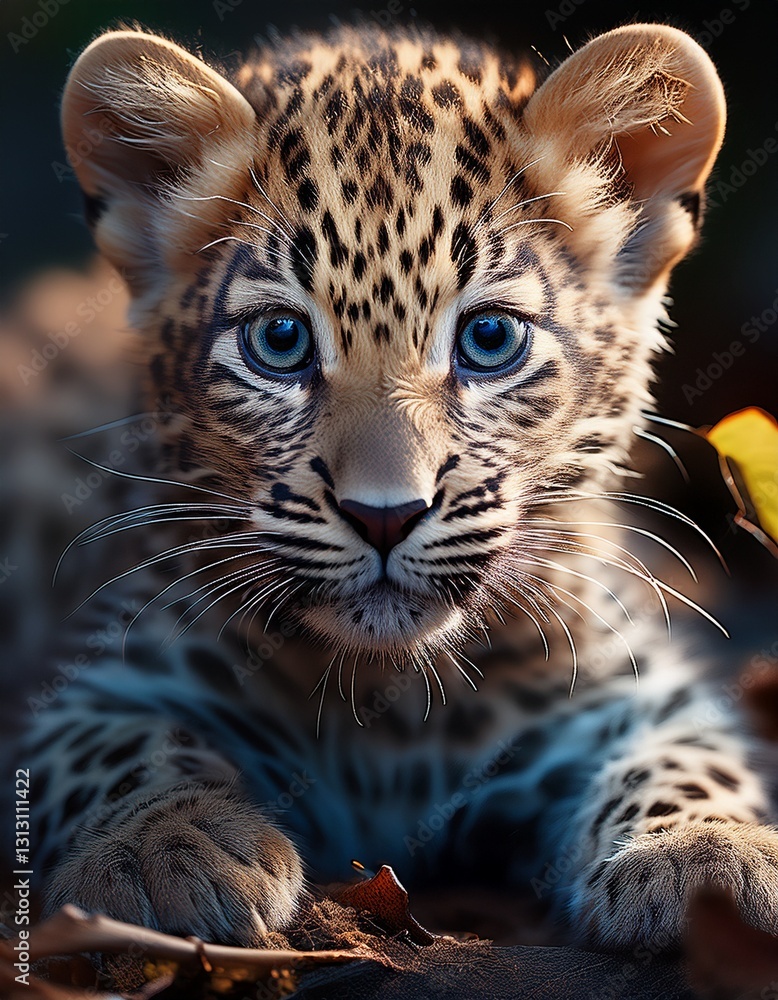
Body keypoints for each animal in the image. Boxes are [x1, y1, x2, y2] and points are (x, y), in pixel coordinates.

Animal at [24, 21, 778, 953]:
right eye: (279, 341)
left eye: (490, 338)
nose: (384, 517)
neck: (389, 706)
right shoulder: (90, 681)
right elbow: (115, 749)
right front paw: (163, 845)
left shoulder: (631, 686)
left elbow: (691, 754)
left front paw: (711, 854)